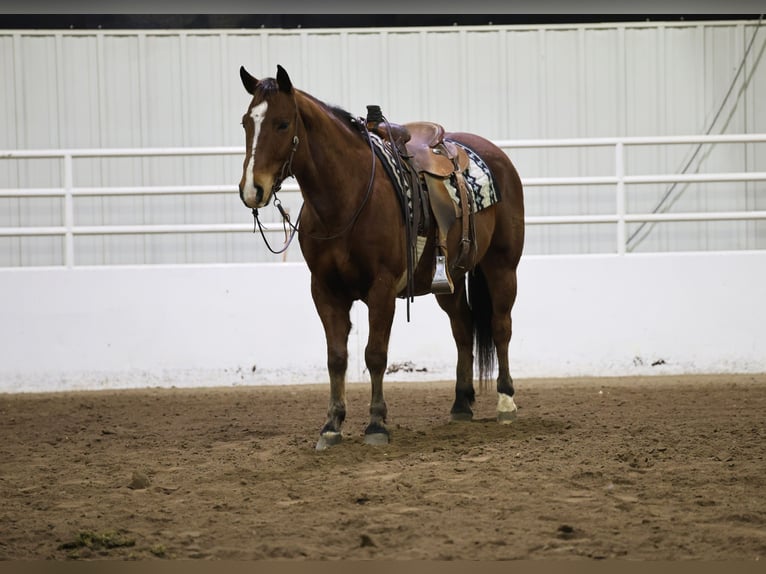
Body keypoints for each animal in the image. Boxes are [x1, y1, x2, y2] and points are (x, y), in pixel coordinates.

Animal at [238, 67, 528, 452]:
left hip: (502, 266)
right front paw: (331, 425)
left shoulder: (382, 288)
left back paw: (506, 402)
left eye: (283, 124)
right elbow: (336, 357)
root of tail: (497, 155)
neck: (347, 198)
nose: (252, 189)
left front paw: (376, 423)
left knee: (500, 325)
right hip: (447, 280)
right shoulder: (324, 290)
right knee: (463, 329)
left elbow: (375, 354)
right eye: (246, 123)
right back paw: (461, 404)